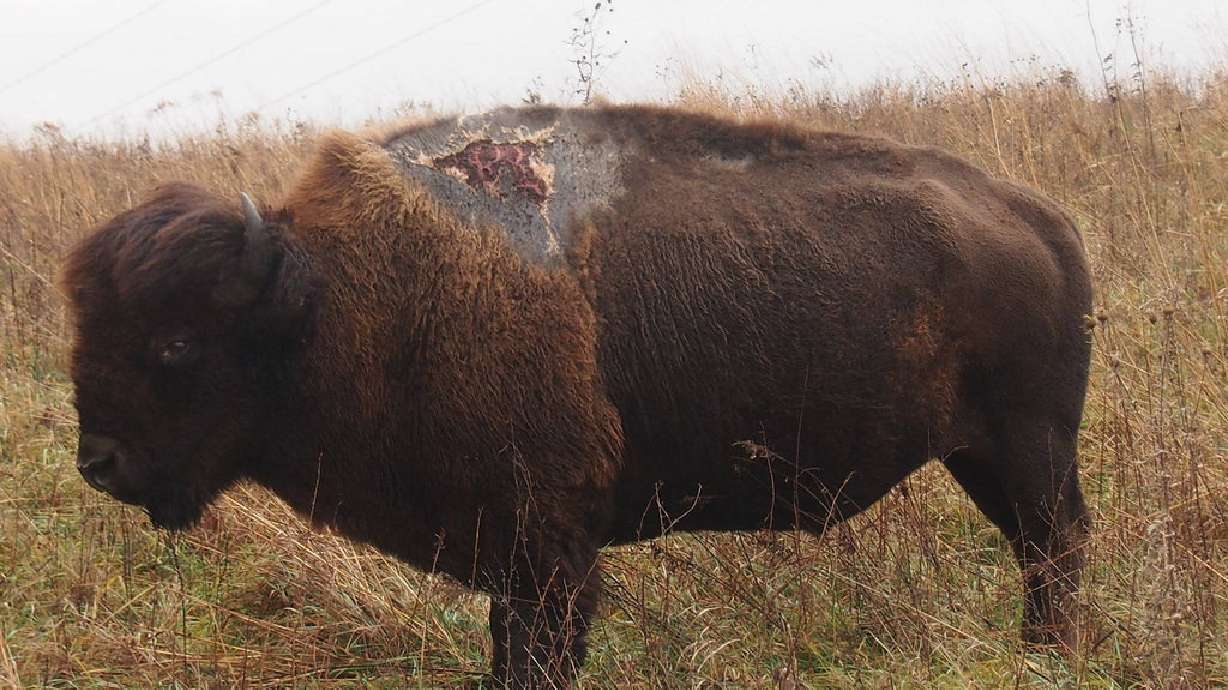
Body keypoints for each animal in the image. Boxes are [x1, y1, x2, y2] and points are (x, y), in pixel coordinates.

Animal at [64, 105, 1092, 687]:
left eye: (175, 341)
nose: (99, 463)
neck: (331, 296)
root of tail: (1038, 217)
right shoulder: (510, 554)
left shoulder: (548, 552)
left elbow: (538, 656)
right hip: (981, 457)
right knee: (1038, 550)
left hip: (1028, 447)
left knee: (1056, 546)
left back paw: (1049, 657)